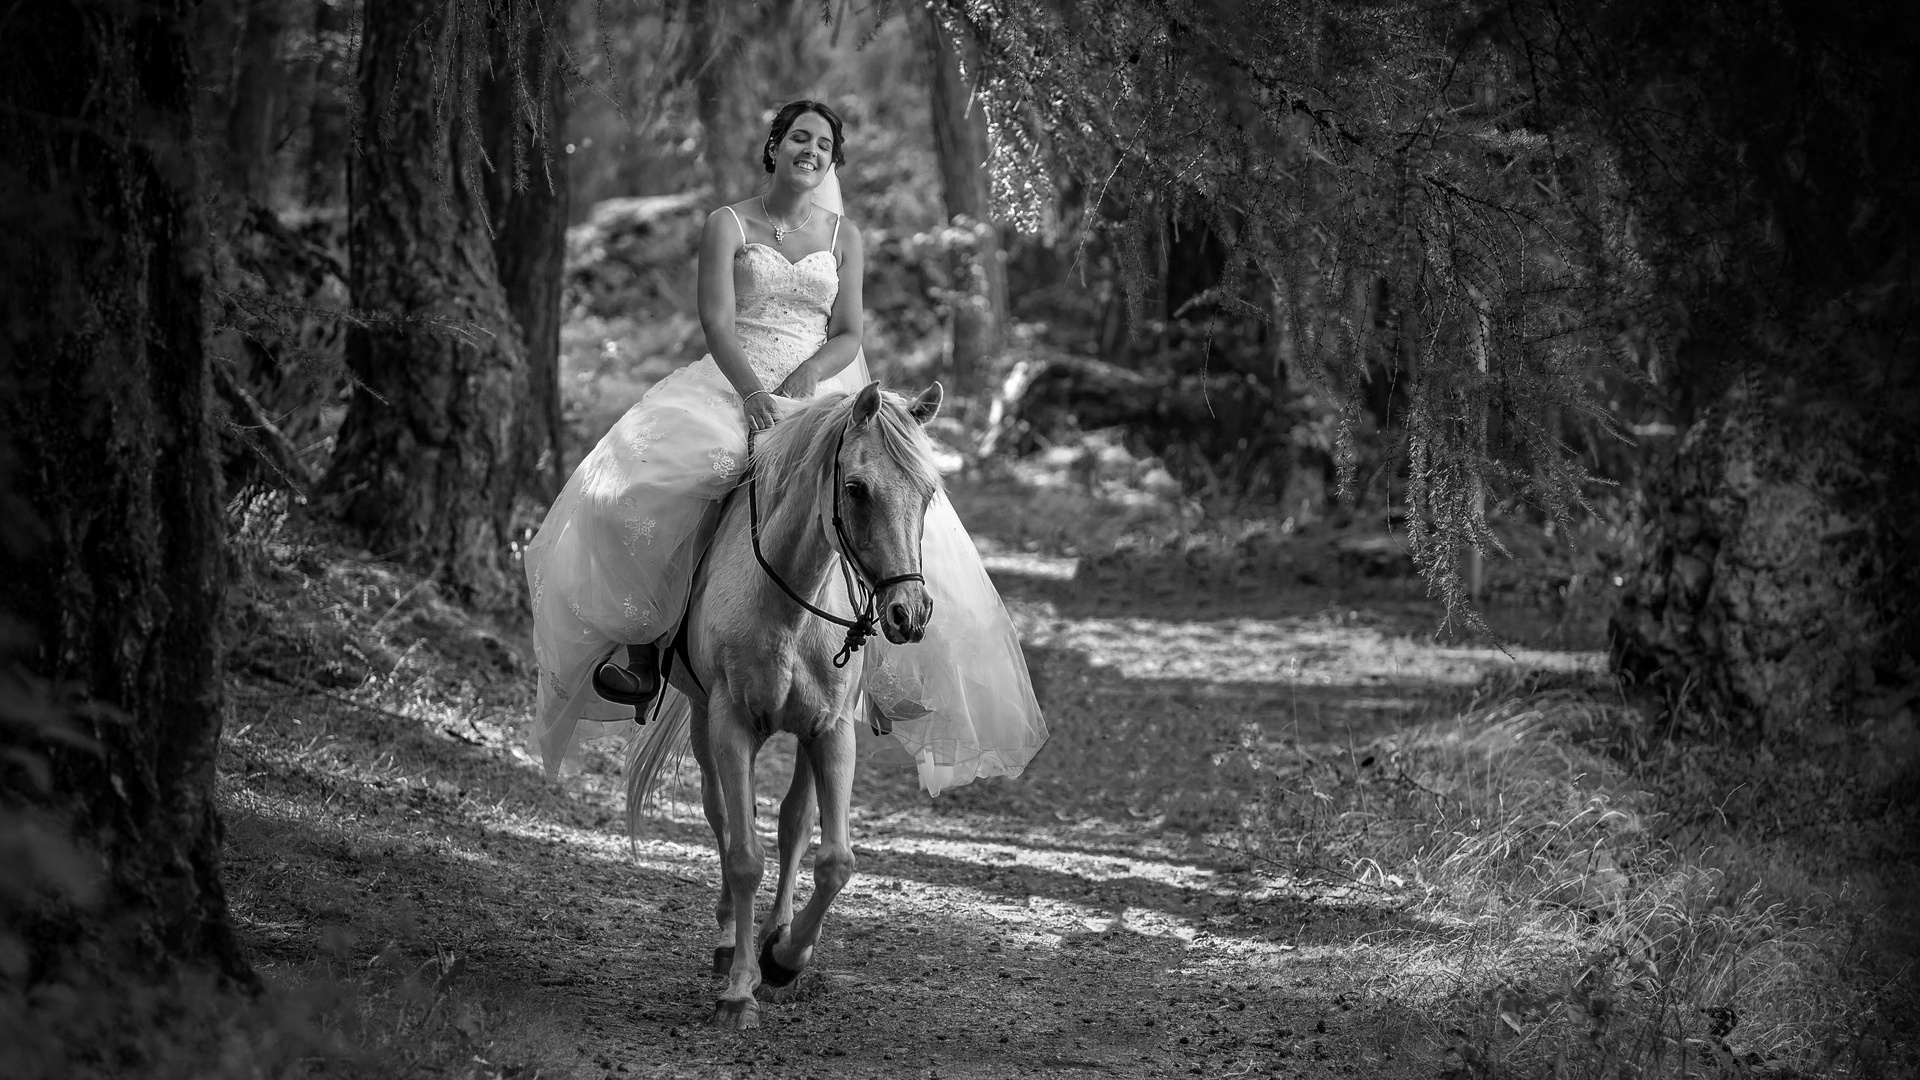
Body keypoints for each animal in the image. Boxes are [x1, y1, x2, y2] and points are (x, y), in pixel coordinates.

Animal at [618, 378, 940, 1022]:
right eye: (856, 489)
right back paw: (728, 942)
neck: (791, 604)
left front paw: (784, 959)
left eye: (928, 494)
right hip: (702, 718)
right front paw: (740, 989)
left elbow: (833, 858)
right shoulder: (731, 724)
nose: (909, 615)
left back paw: (776, 934)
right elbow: (744, 854)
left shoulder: (831, 731)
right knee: (721, 815)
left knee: (795, 822)